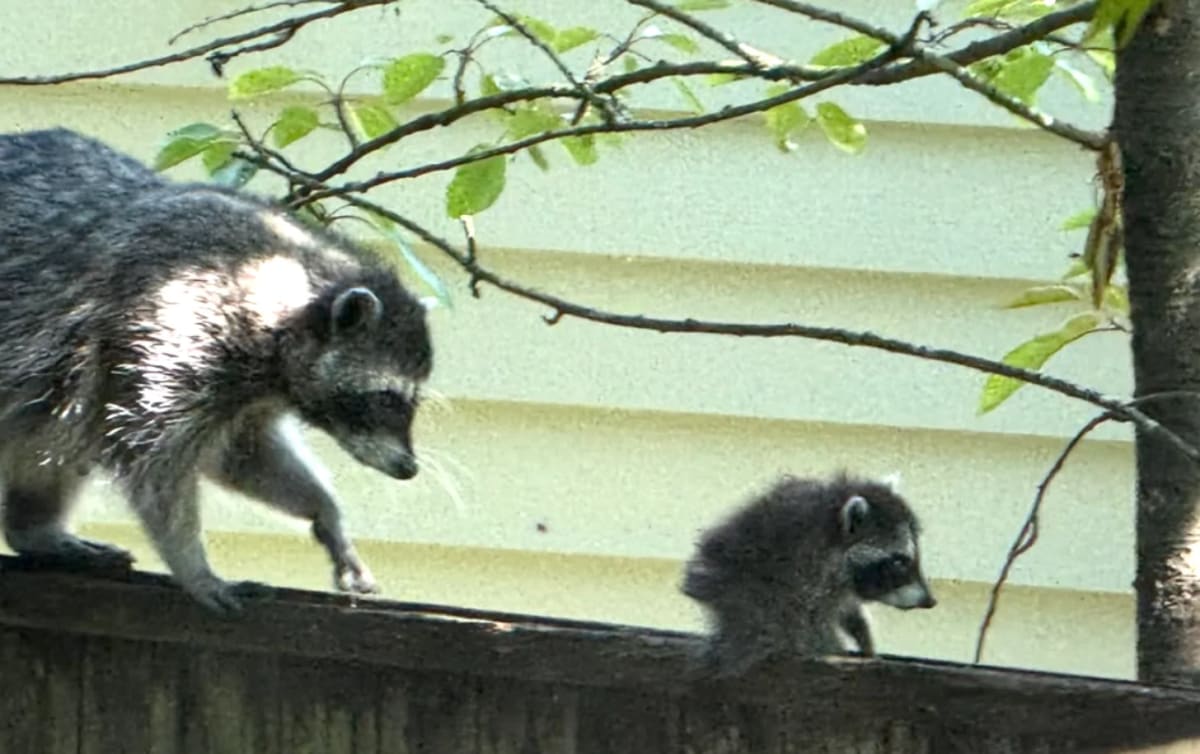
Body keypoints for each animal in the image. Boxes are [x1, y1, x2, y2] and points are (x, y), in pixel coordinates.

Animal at [0, 128, 433, 613]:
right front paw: (193, 567)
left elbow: (244, 456)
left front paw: (327, 512)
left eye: (412, 400)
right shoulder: (165, 331)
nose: (408, 468)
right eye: (387, 398)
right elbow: (154, 465)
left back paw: (34, 529)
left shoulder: (243, 391)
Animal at [681, 472, 936, 677]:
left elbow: (847, 611)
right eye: (899, 561)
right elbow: (815, 624)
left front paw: (863, 637)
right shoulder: (807, 579)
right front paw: (833, 652)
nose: (930, 601)